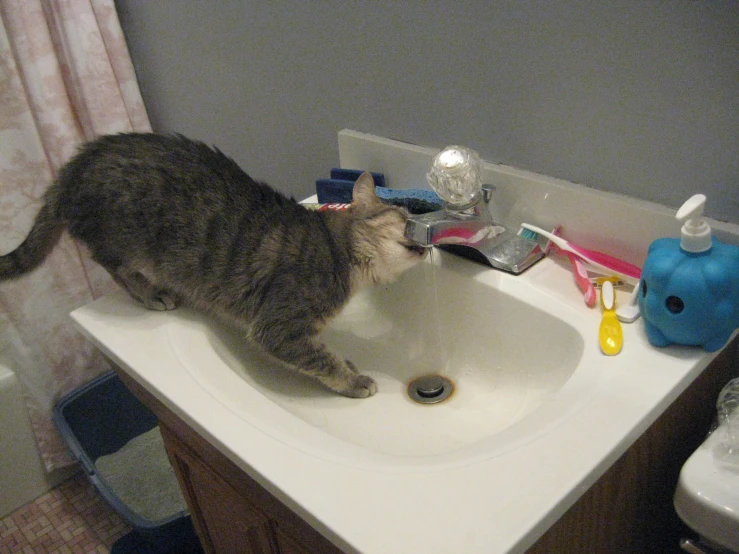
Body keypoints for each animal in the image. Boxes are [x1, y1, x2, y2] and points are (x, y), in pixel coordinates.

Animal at [1, 132, 428, 394]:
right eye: (405, 216)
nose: (427, 243)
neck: (340, 252)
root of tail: (75, 165)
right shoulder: (277, 327)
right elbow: (319, 358)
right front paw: (352, 380)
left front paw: (349, 365)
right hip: (123, 240)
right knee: (111, 264)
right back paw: (151, 293)